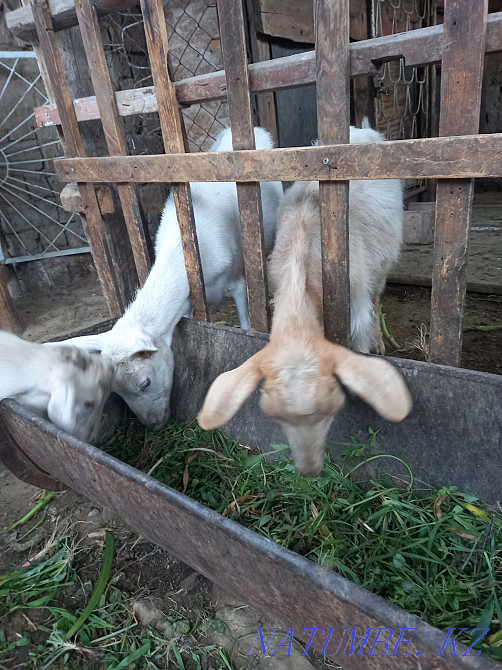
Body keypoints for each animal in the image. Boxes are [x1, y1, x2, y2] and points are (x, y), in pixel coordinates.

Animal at [52, 127, 283, 429]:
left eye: (145, 383)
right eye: (116, 392)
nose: (153, 426)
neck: (180, 250)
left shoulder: (236, 279)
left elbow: (245, 323)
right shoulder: (191, 303)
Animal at [198, 126, 412, 477]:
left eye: (332, 409)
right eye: (274, 416)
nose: (310, 471)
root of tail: (361, 128)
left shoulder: (355, 308)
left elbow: (361, 340)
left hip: (383, 261)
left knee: (378, 295)